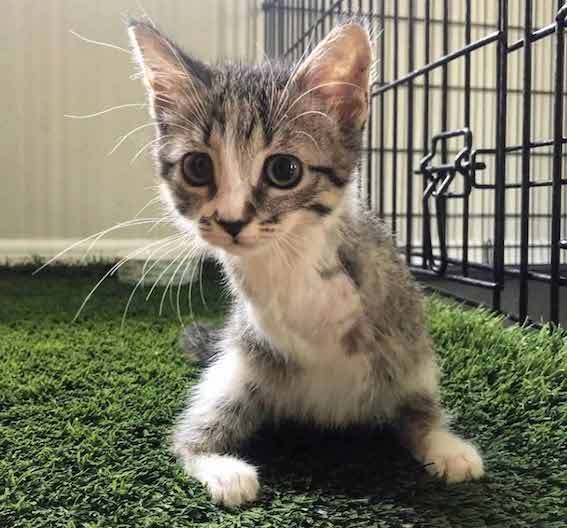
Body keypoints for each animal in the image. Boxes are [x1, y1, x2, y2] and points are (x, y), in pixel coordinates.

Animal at [127, 21, 484, 508]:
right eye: (197, 166)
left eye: (284, 170)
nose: (232, 222)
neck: (286, 253)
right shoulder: (255, 323)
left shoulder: (390, 299)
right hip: (236, 375)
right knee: (192, 434)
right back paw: (221, 468)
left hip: (414, 364)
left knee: (416, 413)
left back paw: (445, 446)